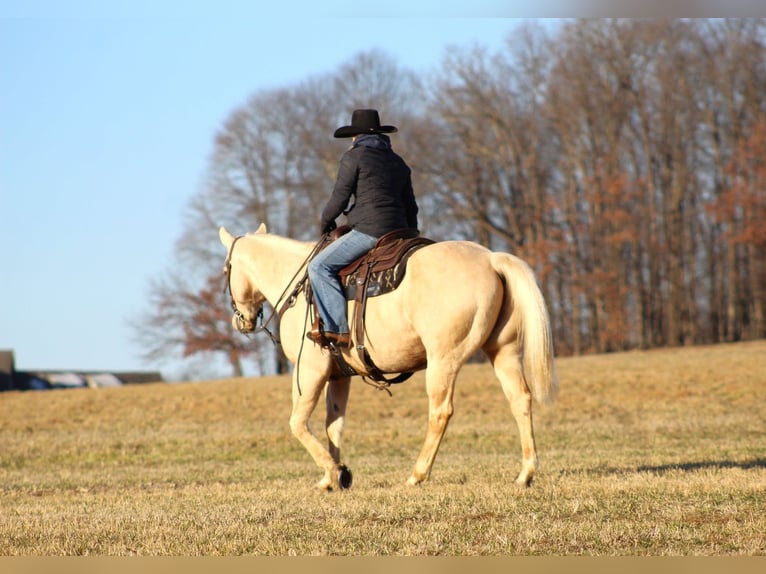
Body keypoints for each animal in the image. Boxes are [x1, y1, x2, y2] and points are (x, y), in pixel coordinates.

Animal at [218, 223, 560, 492]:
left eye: (226, 269)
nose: (241, 321)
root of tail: (490, 259)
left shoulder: (309, 371)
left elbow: (298, 423)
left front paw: (334, 472)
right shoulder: (339, 376)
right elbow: (334, 425)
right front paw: (333, 477)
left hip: (443, 361)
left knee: (441, 412)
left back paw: (418, 474)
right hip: (503, 351)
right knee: (520, 399)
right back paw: (525, 473)